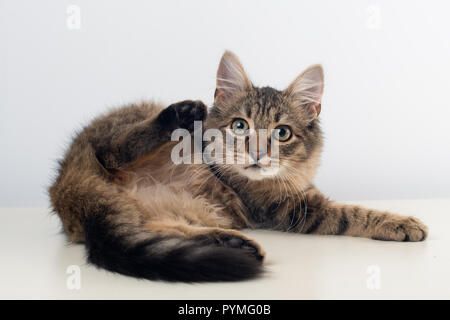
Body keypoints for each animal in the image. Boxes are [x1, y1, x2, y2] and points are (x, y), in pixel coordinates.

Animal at [50, 50, 428, 282]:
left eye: (282, 132)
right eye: (240, 126)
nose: (257, 153)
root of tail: (64, 183)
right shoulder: (294, 208)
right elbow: (353, 213)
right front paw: (403, 223)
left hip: (163, 215)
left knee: (157, 230)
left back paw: (234, 245)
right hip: (119, 136)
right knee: (112, 151)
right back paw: (181, 113)